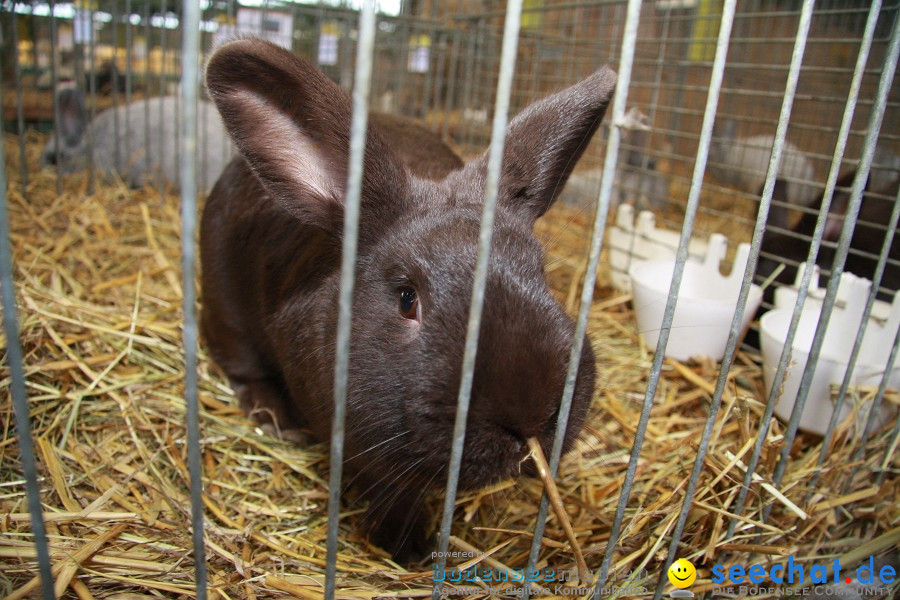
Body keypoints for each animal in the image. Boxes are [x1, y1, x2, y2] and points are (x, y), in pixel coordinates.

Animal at [200, 37, 616, 560]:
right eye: (406, 299)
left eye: (541, 273)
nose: (528, 418)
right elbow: (394, 491)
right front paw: (408, 547)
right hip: (226, 308)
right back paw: (276, 417)